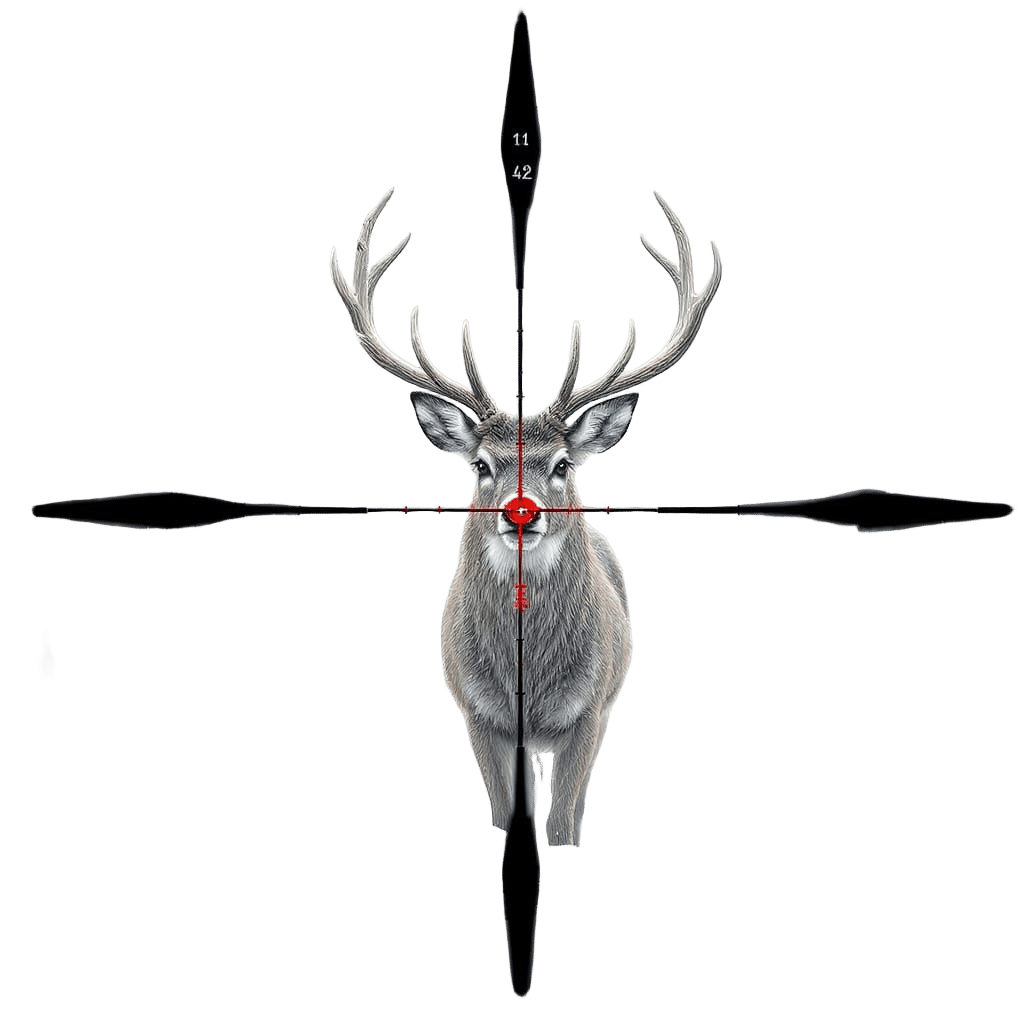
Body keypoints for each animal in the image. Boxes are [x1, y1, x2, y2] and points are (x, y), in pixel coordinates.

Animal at [329, 186, 722, 847]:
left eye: (563, 464)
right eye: (481, 465)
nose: (522, 513)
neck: (527, 681)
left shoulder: (589, 711)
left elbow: (564, 824)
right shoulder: (476, 712)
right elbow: (504, 815)